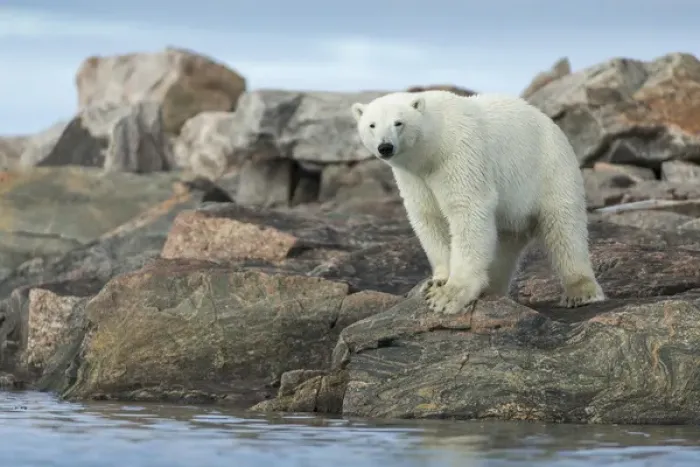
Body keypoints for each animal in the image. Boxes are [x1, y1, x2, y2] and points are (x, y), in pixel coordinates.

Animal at [350, 90, 605, 315]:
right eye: (372, 125)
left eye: (398, 123)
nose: (385, 147)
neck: (433, 147)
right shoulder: (414, 178)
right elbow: (429, 218)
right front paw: (437, 281)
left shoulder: (459, 155)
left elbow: (468, 210)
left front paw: (449, 296)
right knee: (505, 244)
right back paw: (493, 287)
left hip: (551, 171)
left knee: (564, 229)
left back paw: (581, 291)